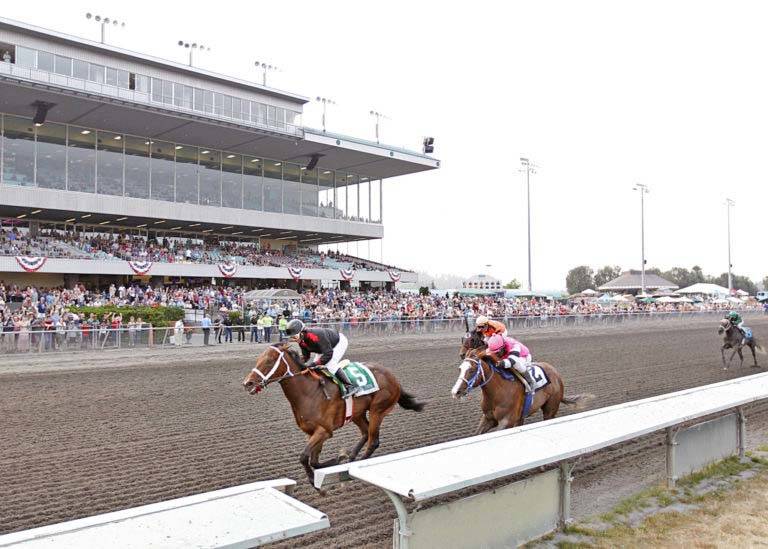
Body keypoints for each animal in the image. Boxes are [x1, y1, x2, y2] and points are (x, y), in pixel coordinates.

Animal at [242, 342, 426, 484]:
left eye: (269, 361)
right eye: (258, 359)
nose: (247, 383)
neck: (309, 392)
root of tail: (393, 376)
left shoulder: (324, 431)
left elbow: (304, 457)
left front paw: (313, 478)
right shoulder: (312, 432)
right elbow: (314, 461)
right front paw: (338, 459)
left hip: (377, 410)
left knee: (373, 440)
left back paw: (357, 464)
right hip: (357, 414)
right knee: (366, 433)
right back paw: (351, 457)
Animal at [450, 346, 592, 432]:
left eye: (472, 370)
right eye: (460, 369)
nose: (455, 392)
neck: (497, 392)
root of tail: (556, 373)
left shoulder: (506, 421)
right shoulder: (488, 419)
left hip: (550, 410)